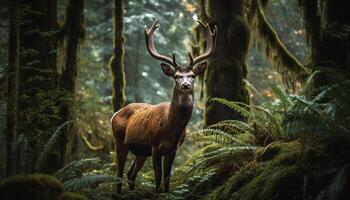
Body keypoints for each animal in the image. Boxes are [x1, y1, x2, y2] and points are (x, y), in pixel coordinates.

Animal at [111, 19, 216, 194]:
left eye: (192, 76)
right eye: (176, 76)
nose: (186, 85)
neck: (170, 129)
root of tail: (114, 115)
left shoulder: (172, 149)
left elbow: (167, 180)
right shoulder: (154, 147)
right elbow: (158, 179)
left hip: (140, 151)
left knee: (130, 174)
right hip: (120, 142)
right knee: (119, 174)